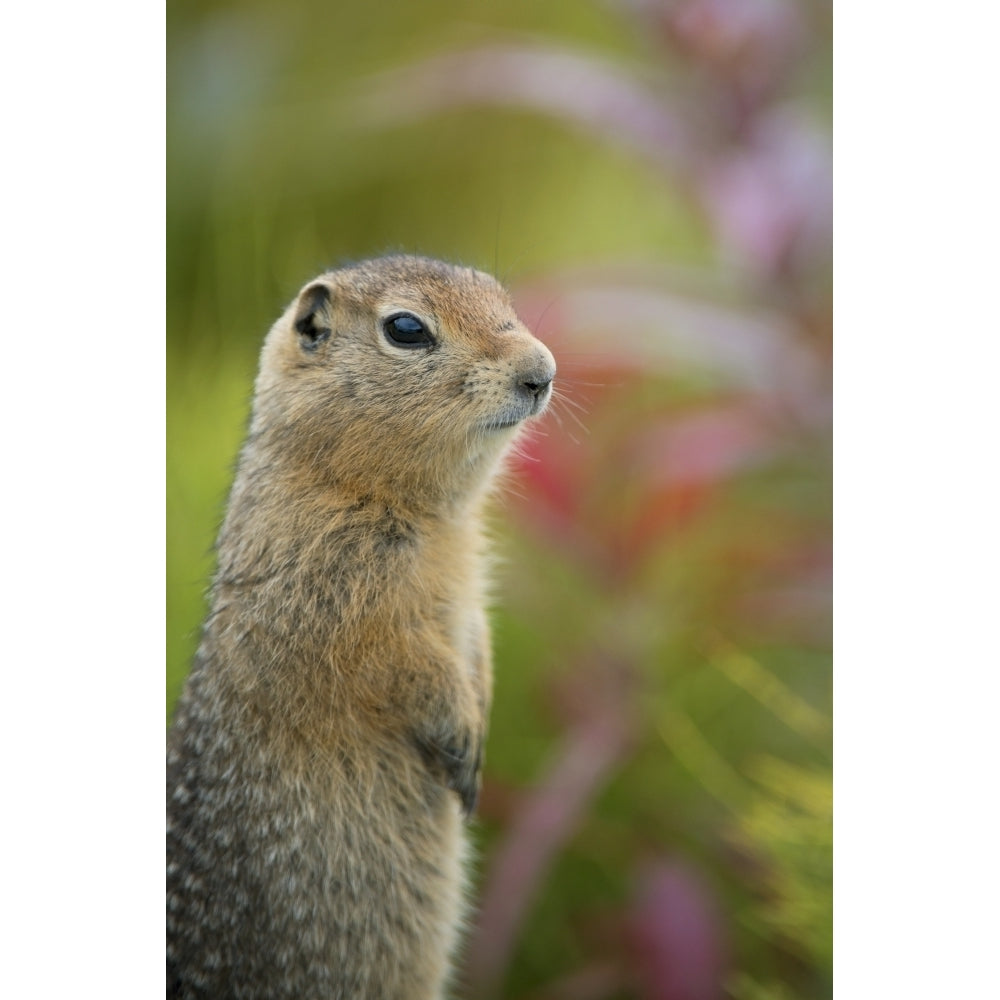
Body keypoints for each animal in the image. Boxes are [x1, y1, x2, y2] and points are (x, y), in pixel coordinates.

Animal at [165, 254, 556, 996]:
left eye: (503, 298)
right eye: (406, 328)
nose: (542, 371)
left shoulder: (469, 590)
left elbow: (474, 643)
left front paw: (478, 725)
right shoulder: (331, 593)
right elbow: (391, 660)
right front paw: (462, 741)